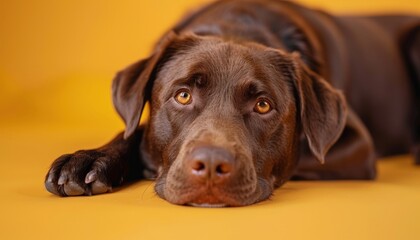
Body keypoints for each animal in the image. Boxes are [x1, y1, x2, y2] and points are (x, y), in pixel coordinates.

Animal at [44, 0, 418, 206]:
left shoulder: (358, 144)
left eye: (263, 106)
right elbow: (132, 131)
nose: (211, 165)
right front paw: (87, 160)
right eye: (183, 95)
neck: (235, 27)